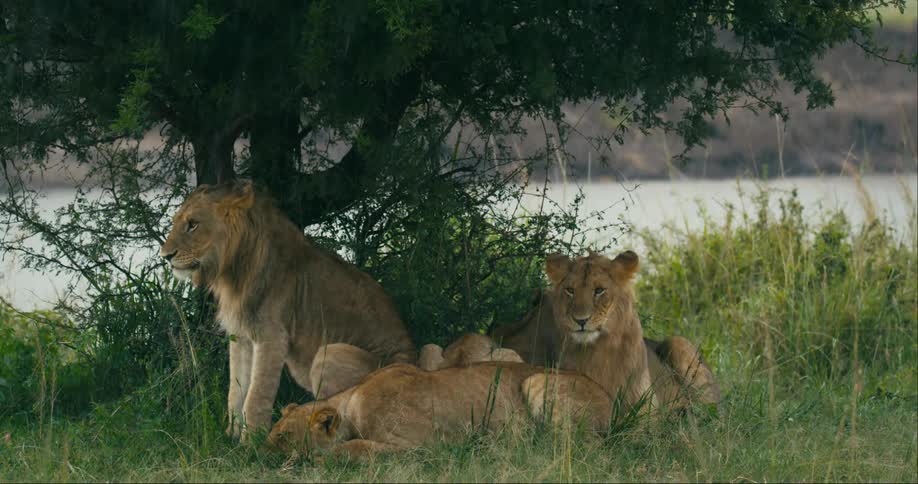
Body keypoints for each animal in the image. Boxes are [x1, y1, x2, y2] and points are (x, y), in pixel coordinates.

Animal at [159, 180, 416, 440]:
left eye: (193, 224)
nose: (165, 256)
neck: (233, 271)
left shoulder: (272, 337)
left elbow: (255, 397)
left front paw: (250, 443)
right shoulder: (241, 337)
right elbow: (235, 392)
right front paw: (230, 437)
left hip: (331, 355)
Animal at [267, 360, 613, 459]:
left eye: (284, 436)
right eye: (272, 433)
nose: (260, 451)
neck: (351, 402)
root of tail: (612, 399)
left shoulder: (422, 446)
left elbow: (355, 447)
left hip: (537, 381)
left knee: (573, 445)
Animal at [492, 251, 721, 412]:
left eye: (599, 290)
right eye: (570, 290)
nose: (581, 320)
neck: (599, 351)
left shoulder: (646, 408)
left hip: (678, 343)